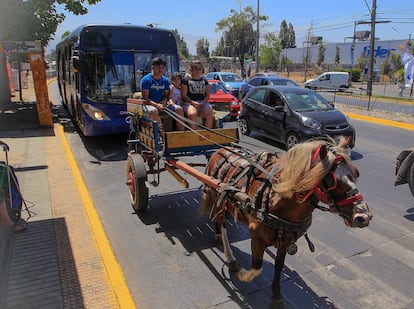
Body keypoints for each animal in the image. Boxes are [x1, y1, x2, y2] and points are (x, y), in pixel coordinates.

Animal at [202, 137, 374, 300]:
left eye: (356, 173)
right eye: (331, 180)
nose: (364, 216)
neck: (277, 197)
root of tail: (218, 151)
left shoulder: (286, 239)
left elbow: (279, 266)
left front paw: (277, 293)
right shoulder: (257, 236)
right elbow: (256, 268)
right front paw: (242, 276)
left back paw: (217, 235)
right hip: (218, 194)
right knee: (222, 224)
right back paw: (229, 256)